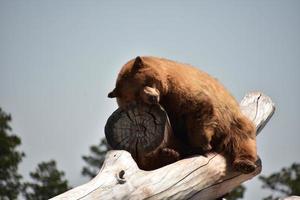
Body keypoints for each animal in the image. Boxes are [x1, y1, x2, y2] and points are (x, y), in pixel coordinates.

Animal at [108, 56, 258, 173]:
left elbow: (199, 106)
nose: (152, 97)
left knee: (241, 137)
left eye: (145, 82)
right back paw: (169, 155)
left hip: (230, 120)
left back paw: (245, 163)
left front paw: (202, 144)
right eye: (136, 95)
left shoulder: (178, 87)